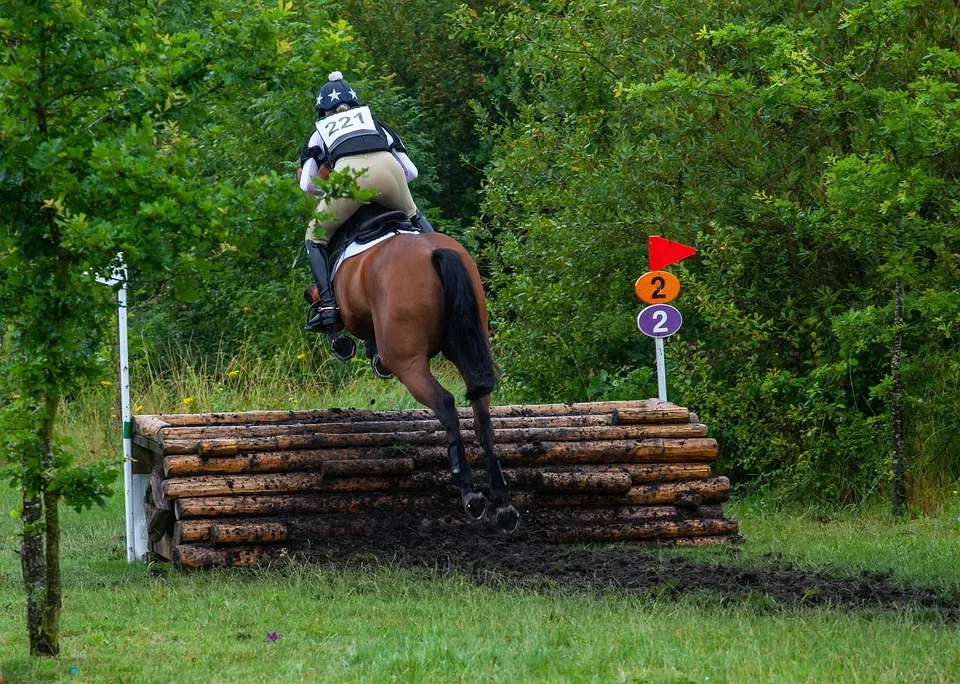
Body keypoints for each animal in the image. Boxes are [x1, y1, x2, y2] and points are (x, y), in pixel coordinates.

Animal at [306, 208, 516, 536]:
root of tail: (433, 252)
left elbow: (318, 294)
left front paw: (337, 337)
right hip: (469, 343)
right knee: (481, 412)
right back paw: (502, 501)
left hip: (408, 363)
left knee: (445, 403)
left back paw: (468, 491)